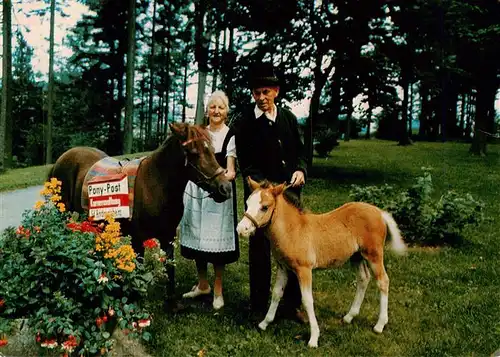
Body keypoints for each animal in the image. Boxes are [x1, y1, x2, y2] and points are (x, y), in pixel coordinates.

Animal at [49, 122, 231, 298]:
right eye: (194, 152)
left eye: (212, 150)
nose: (225, 188)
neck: (155, 184)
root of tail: (62, 157)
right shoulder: (138, 240)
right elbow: (138, 276)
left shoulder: (168, 237)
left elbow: (170, 273)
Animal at [237, 177, 406, 346]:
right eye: (247, 202)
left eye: (264, 207)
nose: (241, 229)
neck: (292, 230)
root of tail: (380, 212)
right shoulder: (283, 267)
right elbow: (277, 293)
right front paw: (265, 323)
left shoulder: (304, 270)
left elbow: (307, 300)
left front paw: (313, 338)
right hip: (356, 256)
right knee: (363, 279)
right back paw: (349, 317)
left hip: (373, 255)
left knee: (383, 281)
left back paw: (380, 325)